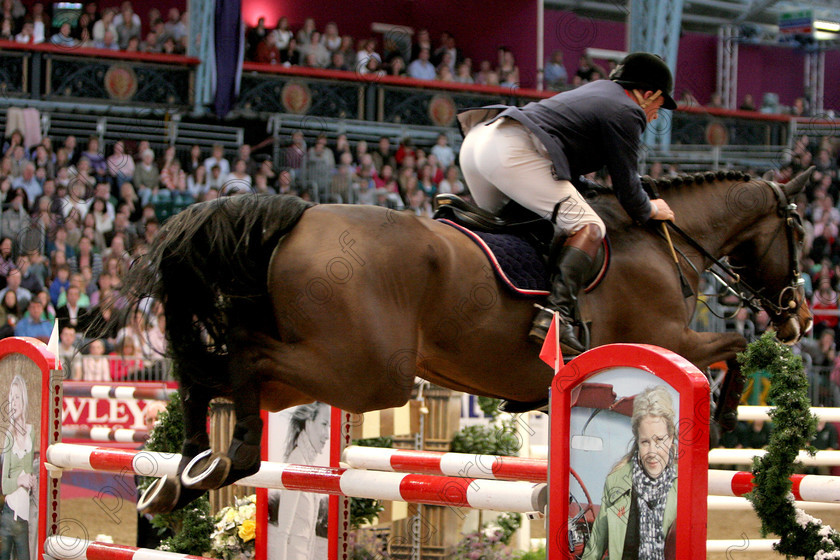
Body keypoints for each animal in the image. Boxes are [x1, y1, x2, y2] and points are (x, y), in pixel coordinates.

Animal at [131, 166, 812, 512]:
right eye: (799, 232)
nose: (799, 317)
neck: (661, 239)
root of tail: (299, 215)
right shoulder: (669, 339)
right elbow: (733, 352)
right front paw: (723, 417)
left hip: (326, 367)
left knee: (223, 371)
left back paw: (187, 472)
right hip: (365, 372)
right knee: (237, 363)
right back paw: (220, 460)